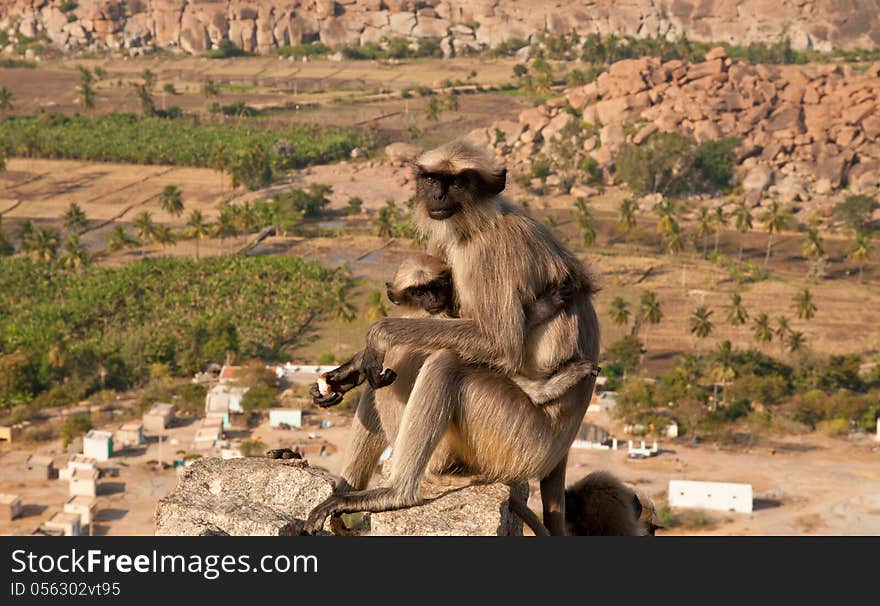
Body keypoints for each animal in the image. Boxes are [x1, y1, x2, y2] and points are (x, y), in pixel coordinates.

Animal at [306, 139, 600, 536]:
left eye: (458, 182)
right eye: (432, 179)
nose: (439, 196)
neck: (480, 223)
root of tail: (561, 448)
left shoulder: (487, 254)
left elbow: (501, 342)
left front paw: (378, 335)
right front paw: (345, 373)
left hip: (516, 436)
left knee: (442, 362)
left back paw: (397, 492)